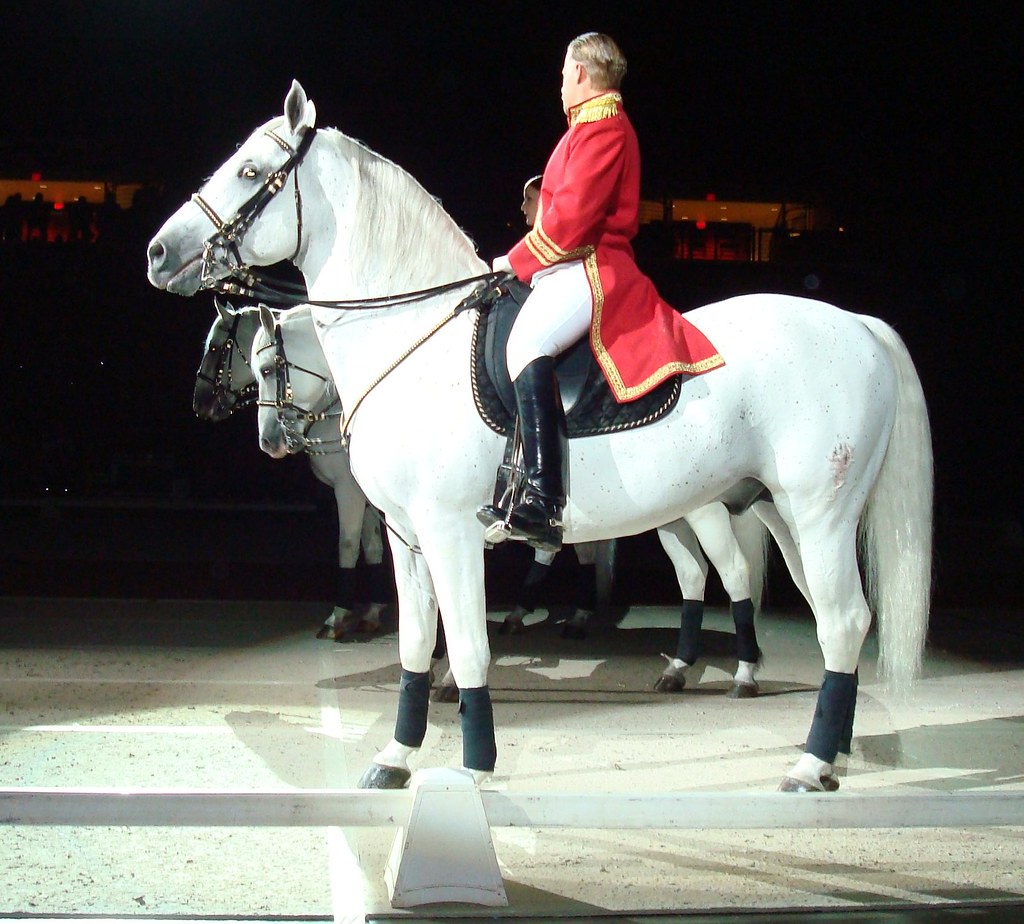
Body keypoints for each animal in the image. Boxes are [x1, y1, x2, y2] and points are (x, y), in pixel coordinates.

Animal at [193, 300, 389, 640]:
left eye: (215, 347)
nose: (199, 404)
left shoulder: (349, 490)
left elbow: (348, 545)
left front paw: (338, 616)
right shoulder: (364, 495)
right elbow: (373, 547)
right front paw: (372, 612)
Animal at [252, 302, 774, 699]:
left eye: (267, 368)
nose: (271, 441)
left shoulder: (410, 513)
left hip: (704, 511)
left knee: (732, 571)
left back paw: (743, 672)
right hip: (670, 517)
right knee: (691, 575)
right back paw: (677, 666)